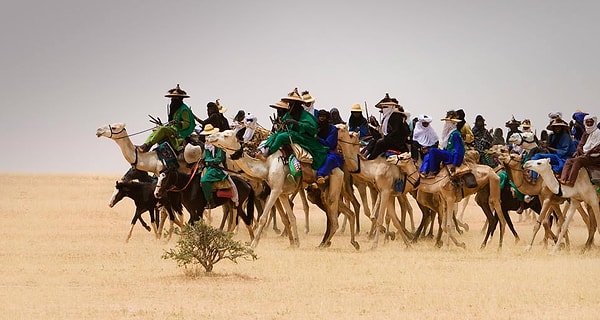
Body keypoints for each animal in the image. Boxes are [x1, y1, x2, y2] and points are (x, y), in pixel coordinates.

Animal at [204, 129, 358, 249]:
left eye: (226, 135)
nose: (209, 137)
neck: (266, 166)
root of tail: (341, 167)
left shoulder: (275, 190)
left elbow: (263, 217)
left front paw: (253, 244)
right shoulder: (282, 194)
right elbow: (291, 217)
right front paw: (295, 243)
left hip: (334, 181)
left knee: (334, 217)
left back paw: (325, 244)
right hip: (325, 189)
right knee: (346, 212)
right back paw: (353, 243)